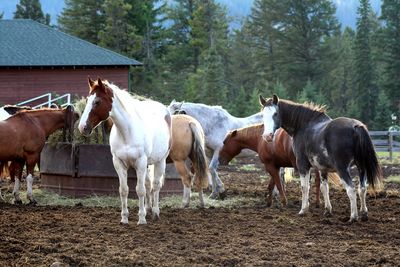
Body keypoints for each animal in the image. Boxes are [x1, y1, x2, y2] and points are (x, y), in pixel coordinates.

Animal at [79, 78, 171, 226]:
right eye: (87, 100)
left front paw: (141, 219)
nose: (82, 127)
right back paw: (148, 208)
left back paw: (155, 212)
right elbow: (124, 190)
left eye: (97, 101)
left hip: (160, 161)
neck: (127, 132)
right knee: (148, 184)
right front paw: (124, 218)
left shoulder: (140, 162)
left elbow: (140, 190)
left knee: (156, 185)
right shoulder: (119, 163)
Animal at [258, 95, 382, 223]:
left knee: (351, 189)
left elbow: (305, 187)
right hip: (361, 167)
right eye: (262, 115)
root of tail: (355, 126)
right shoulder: (323, 169)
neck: (303, 125)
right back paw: (364, 214)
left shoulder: (302, 165)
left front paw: (303, 210)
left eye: (276, 113)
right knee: (362, 188)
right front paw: (327, 210)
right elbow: (324, 188)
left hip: (343, 169)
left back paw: (353, 217)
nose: (267, 136)